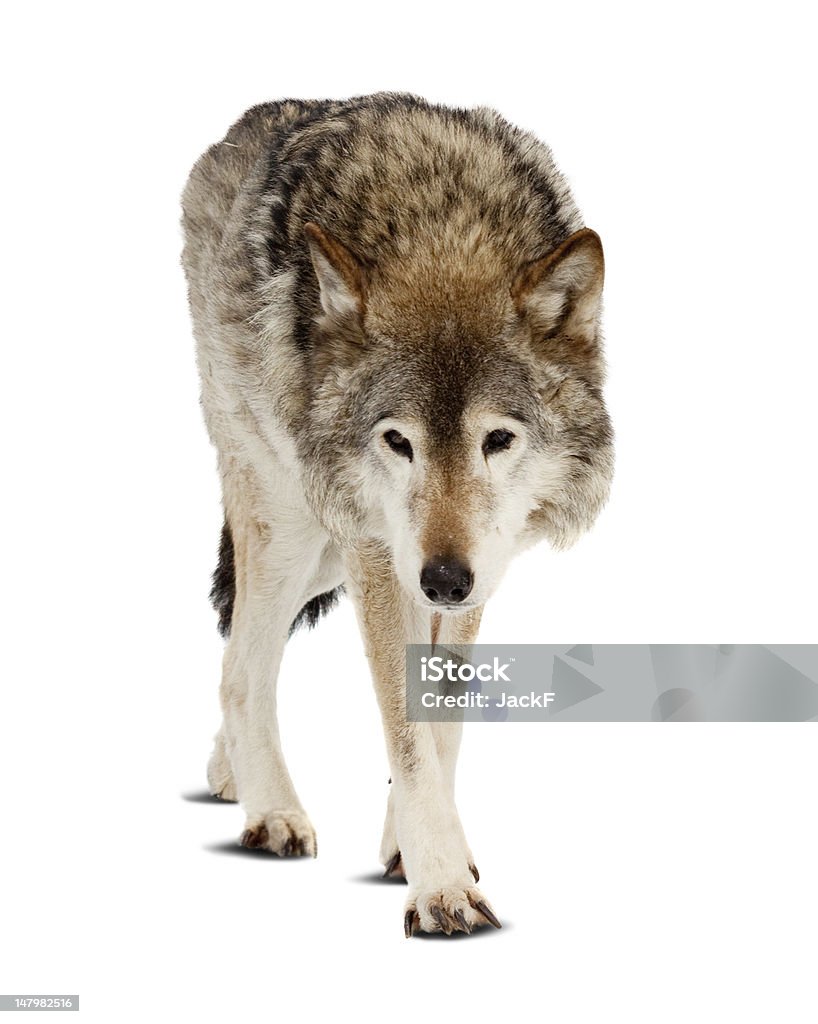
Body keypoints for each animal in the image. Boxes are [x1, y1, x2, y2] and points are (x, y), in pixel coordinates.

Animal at [179, 96, 614, 937]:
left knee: (238, 654)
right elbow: (404, 726)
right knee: (243, 666)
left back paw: (229, 771)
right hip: (296, 524)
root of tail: (238, 129)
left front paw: (416, 850)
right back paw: (272, 810)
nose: (443, 579)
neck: (444, 231)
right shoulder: (379, 551)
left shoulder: (480, 564)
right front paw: (441, 884)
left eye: (497, 440)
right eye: (397, 442)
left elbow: (439, 722)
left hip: (325, 554)